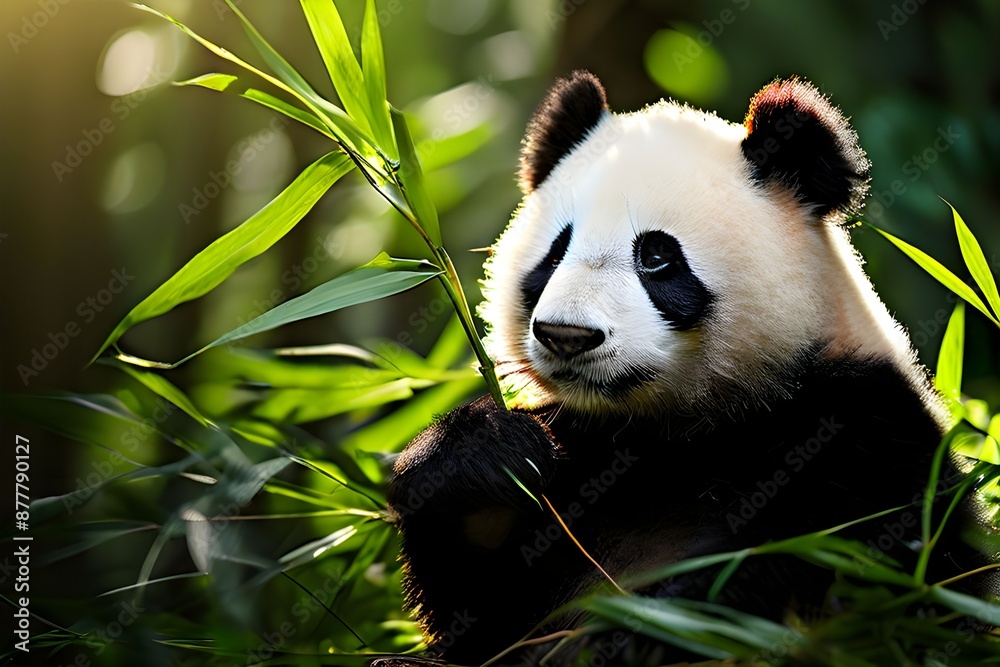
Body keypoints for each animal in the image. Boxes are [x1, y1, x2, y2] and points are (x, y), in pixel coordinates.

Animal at [384, 72, 976, 665]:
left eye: (655, 257)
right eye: (555, 254)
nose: (567, 335)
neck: (678, 427)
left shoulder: (861, 428)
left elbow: (827, 565)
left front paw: (636, 632)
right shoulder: (580, 452)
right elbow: (484, 618)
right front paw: (486, 455)